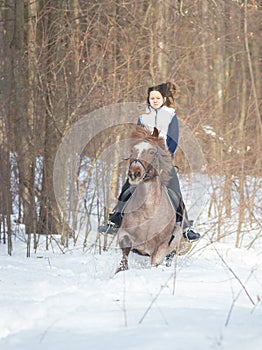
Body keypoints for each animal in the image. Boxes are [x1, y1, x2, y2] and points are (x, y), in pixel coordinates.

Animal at [115, 125, 191, 274]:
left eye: (152, 152)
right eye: (133, 150)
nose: (134, 173)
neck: (148, 210)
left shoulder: (161, 247)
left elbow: (155, 262)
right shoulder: (124, 234)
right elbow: (125, 254)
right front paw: (120, 270)